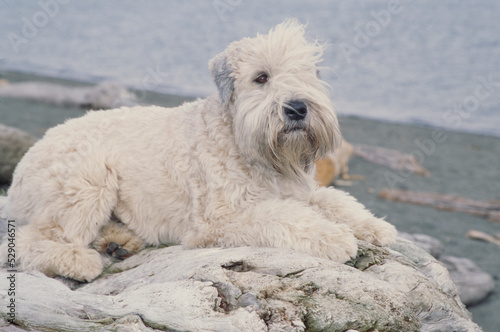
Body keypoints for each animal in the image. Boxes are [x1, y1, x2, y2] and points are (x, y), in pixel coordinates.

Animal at [1, 19, 396, 282]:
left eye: (308, 74)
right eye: (261, 77)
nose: (297, 108)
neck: (238, 137)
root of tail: (23, 165)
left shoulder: (300, 191)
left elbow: (336, 200)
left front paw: (374, 226)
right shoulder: (220, 219)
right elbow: (282, 217)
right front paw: (335, 237)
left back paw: (118, 241)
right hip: (88, 180)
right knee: (30, 239)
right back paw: (80, 261)